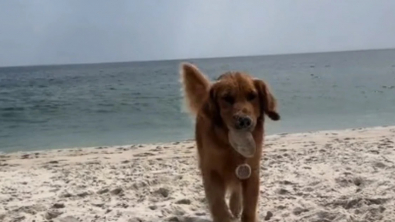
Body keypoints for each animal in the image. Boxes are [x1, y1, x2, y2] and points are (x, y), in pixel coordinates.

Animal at [181, 62, 280, 222]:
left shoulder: (251, 171)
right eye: (227, 98)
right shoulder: (210, 171)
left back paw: (235, 206)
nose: (244, 121)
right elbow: (218, 205)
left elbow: (249, 208)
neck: (232, 145)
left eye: (252, 96)